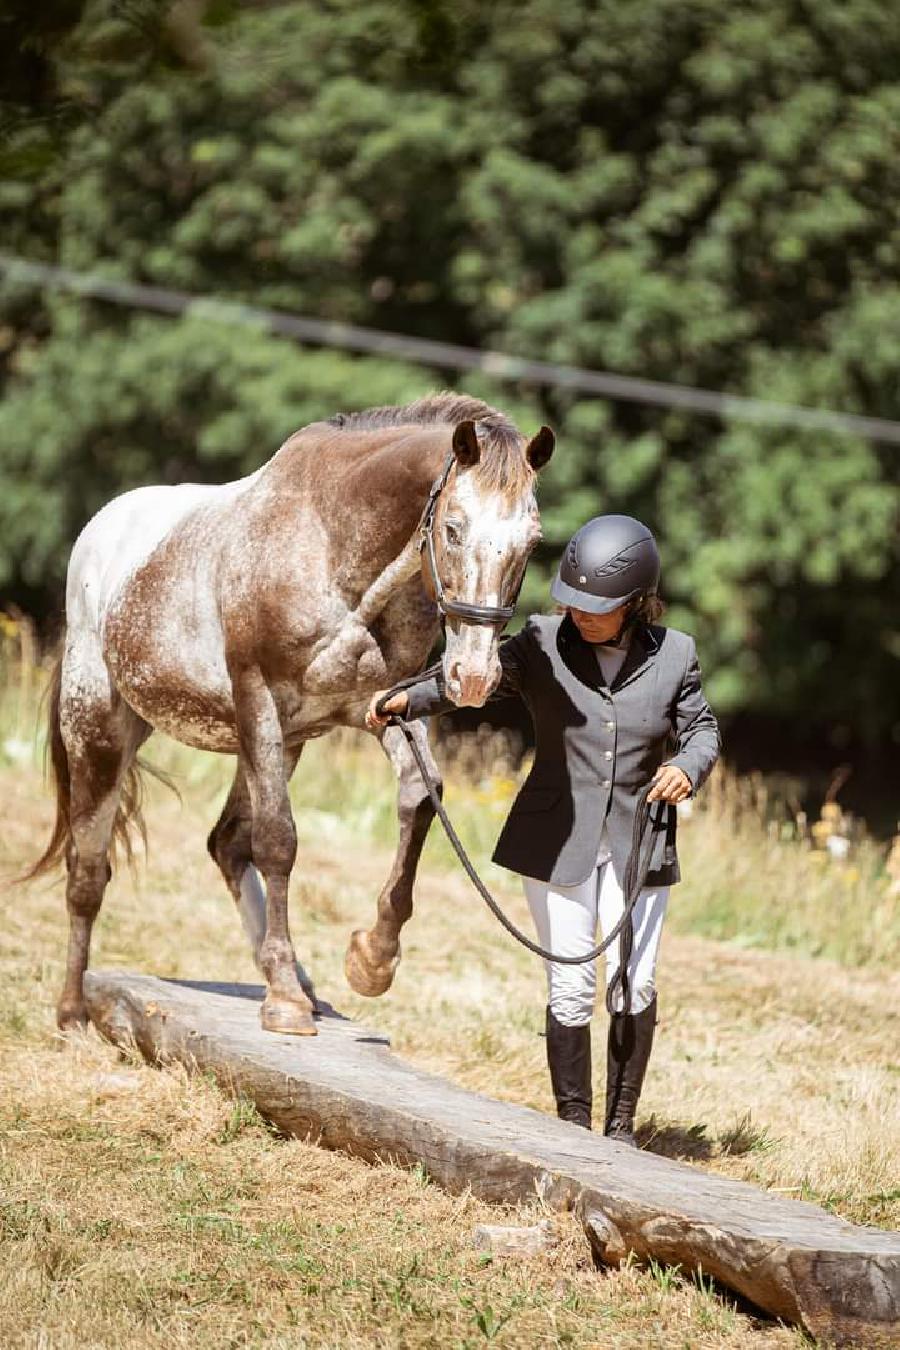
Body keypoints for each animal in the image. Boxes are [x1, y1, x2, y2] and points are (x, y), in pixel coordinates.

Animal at [24, 391, 553, 1031]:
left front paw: (371, 960)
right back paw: (74, 1011)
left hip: (282, 740)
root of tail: (99, 533)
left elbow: (420, 799)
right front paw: (285, 1005)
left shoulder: (385, 705)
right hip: (101, 726)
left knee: (226, 844)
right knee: (88, 871)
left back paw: (297, 976)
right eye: (452, 529)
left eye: (532, 542)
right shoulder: (258, 698)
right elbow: (278, 841)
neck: (332, 550)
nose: (472, 676)